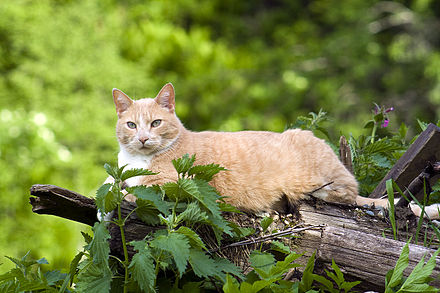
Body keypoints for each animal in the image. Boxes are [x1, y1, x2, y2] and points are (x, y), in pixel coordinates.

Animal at [108, 83, 438, 218]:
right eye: (131, 126)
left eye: (156, 123)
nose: (143, 139)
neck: (138, 158)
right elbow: (111, 182)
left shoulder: (176, 182)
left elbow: (138, 189)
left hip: (318, 181)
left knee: (345, 193)